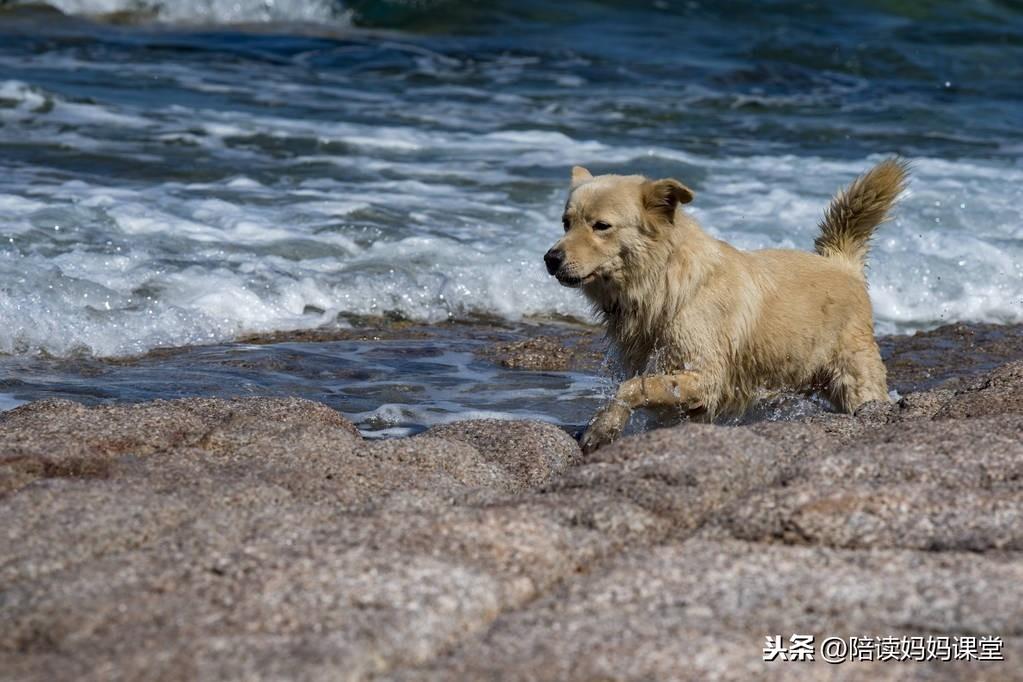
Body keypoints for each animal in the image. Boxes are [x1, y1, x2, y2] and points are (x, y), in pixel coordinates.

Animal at [548, 160, 908, 453]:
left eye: (601, 226)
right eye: (566, 222)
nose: (550, 258)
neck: (664, 281)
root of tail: (840, 262)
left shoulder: (707, 376)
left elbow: (634, 386)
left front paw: (601, 428)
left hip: (854, 378)